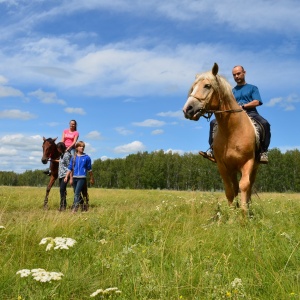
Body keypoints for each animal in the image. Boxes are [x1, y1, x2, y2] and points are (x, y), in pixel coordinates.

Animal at [183, 63, 260, 213]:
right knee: (235, 187)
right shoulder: (223, 166)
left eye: (207, 86)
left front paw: (244, 214)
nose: (187, 109)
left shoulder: (248, 163)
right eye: (193, 87)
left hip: (254, 168)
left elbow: (244, 186)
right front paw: (232, 214)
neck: (232, 131)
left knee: (248, 187)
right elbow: (229, 190)